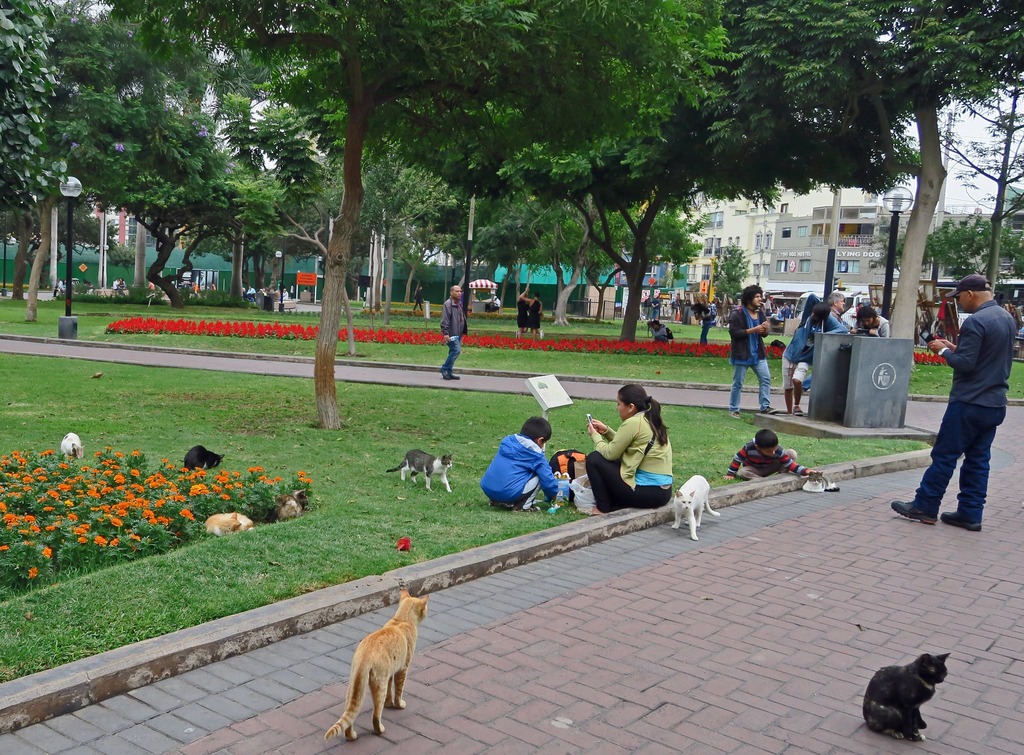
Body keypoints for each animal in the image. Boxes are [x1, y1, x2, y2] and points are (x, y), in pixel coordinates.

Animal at [323, 585, 428, 737]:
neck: (402, 620)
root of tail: (364, 656)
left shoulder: (392, 672)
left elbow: (390, 691)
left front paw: (389, 703)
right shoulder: (402, 669)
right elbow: (398, 691)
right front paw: (398, 705)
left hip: (354, 687)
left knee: (350, 716)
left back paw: (351, 736)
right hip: (379, 685)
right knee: (376, 715)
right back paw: (380, 730)